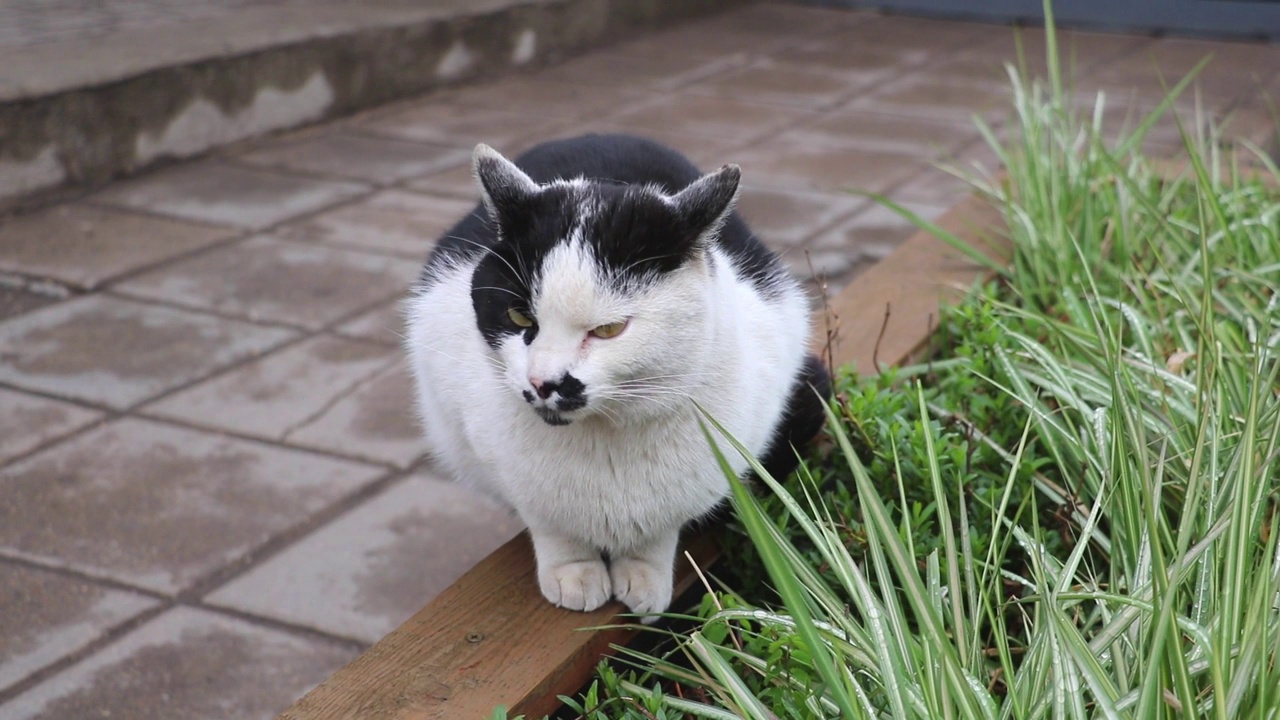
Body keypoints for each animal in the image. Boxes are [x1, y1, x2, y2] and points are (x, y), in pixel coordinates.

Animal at [404, 134, 834, 617]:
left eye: (608, 330)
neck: (607, 439)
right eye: (518, 317)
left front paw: (646, 576)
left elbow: (661, 529)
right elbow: (548, 521)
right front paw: (573, 572)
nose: (542, 382)